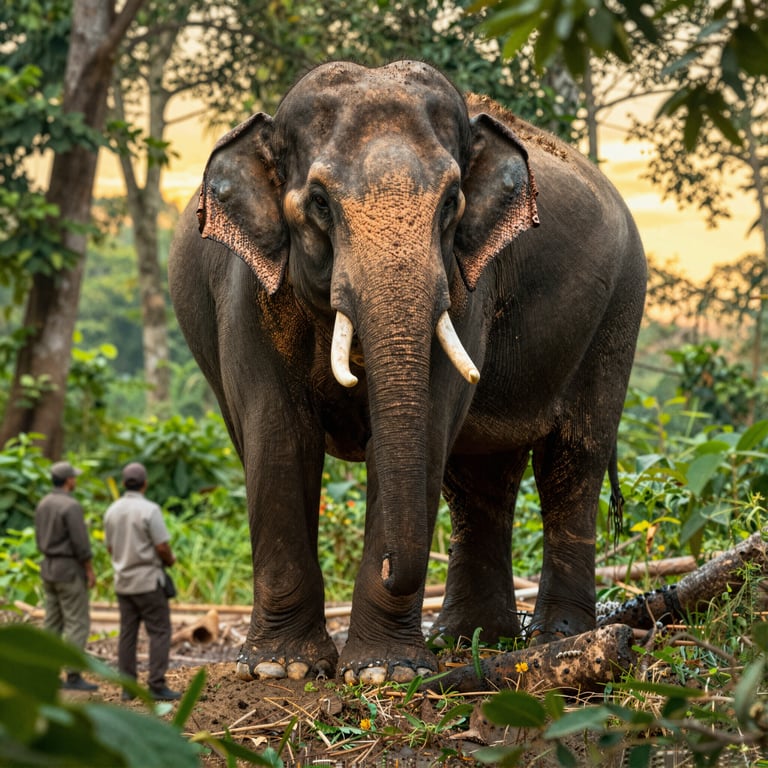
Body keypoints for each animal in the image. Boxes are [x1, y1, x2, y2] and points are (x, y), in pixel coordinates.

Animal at [168, 60, 646, 685]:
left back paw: (557, 638)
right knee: (480, 479)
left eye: (451, 204)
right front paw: (282, 669)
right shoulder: (247, 288)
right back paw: (467, 638)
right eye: (320, 203)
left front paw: (383, 672)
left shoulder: (465, 282)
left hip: (619, 312)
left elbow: (427, 427)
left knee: (572, 462)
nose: (392, 565)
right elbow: (279, 437)